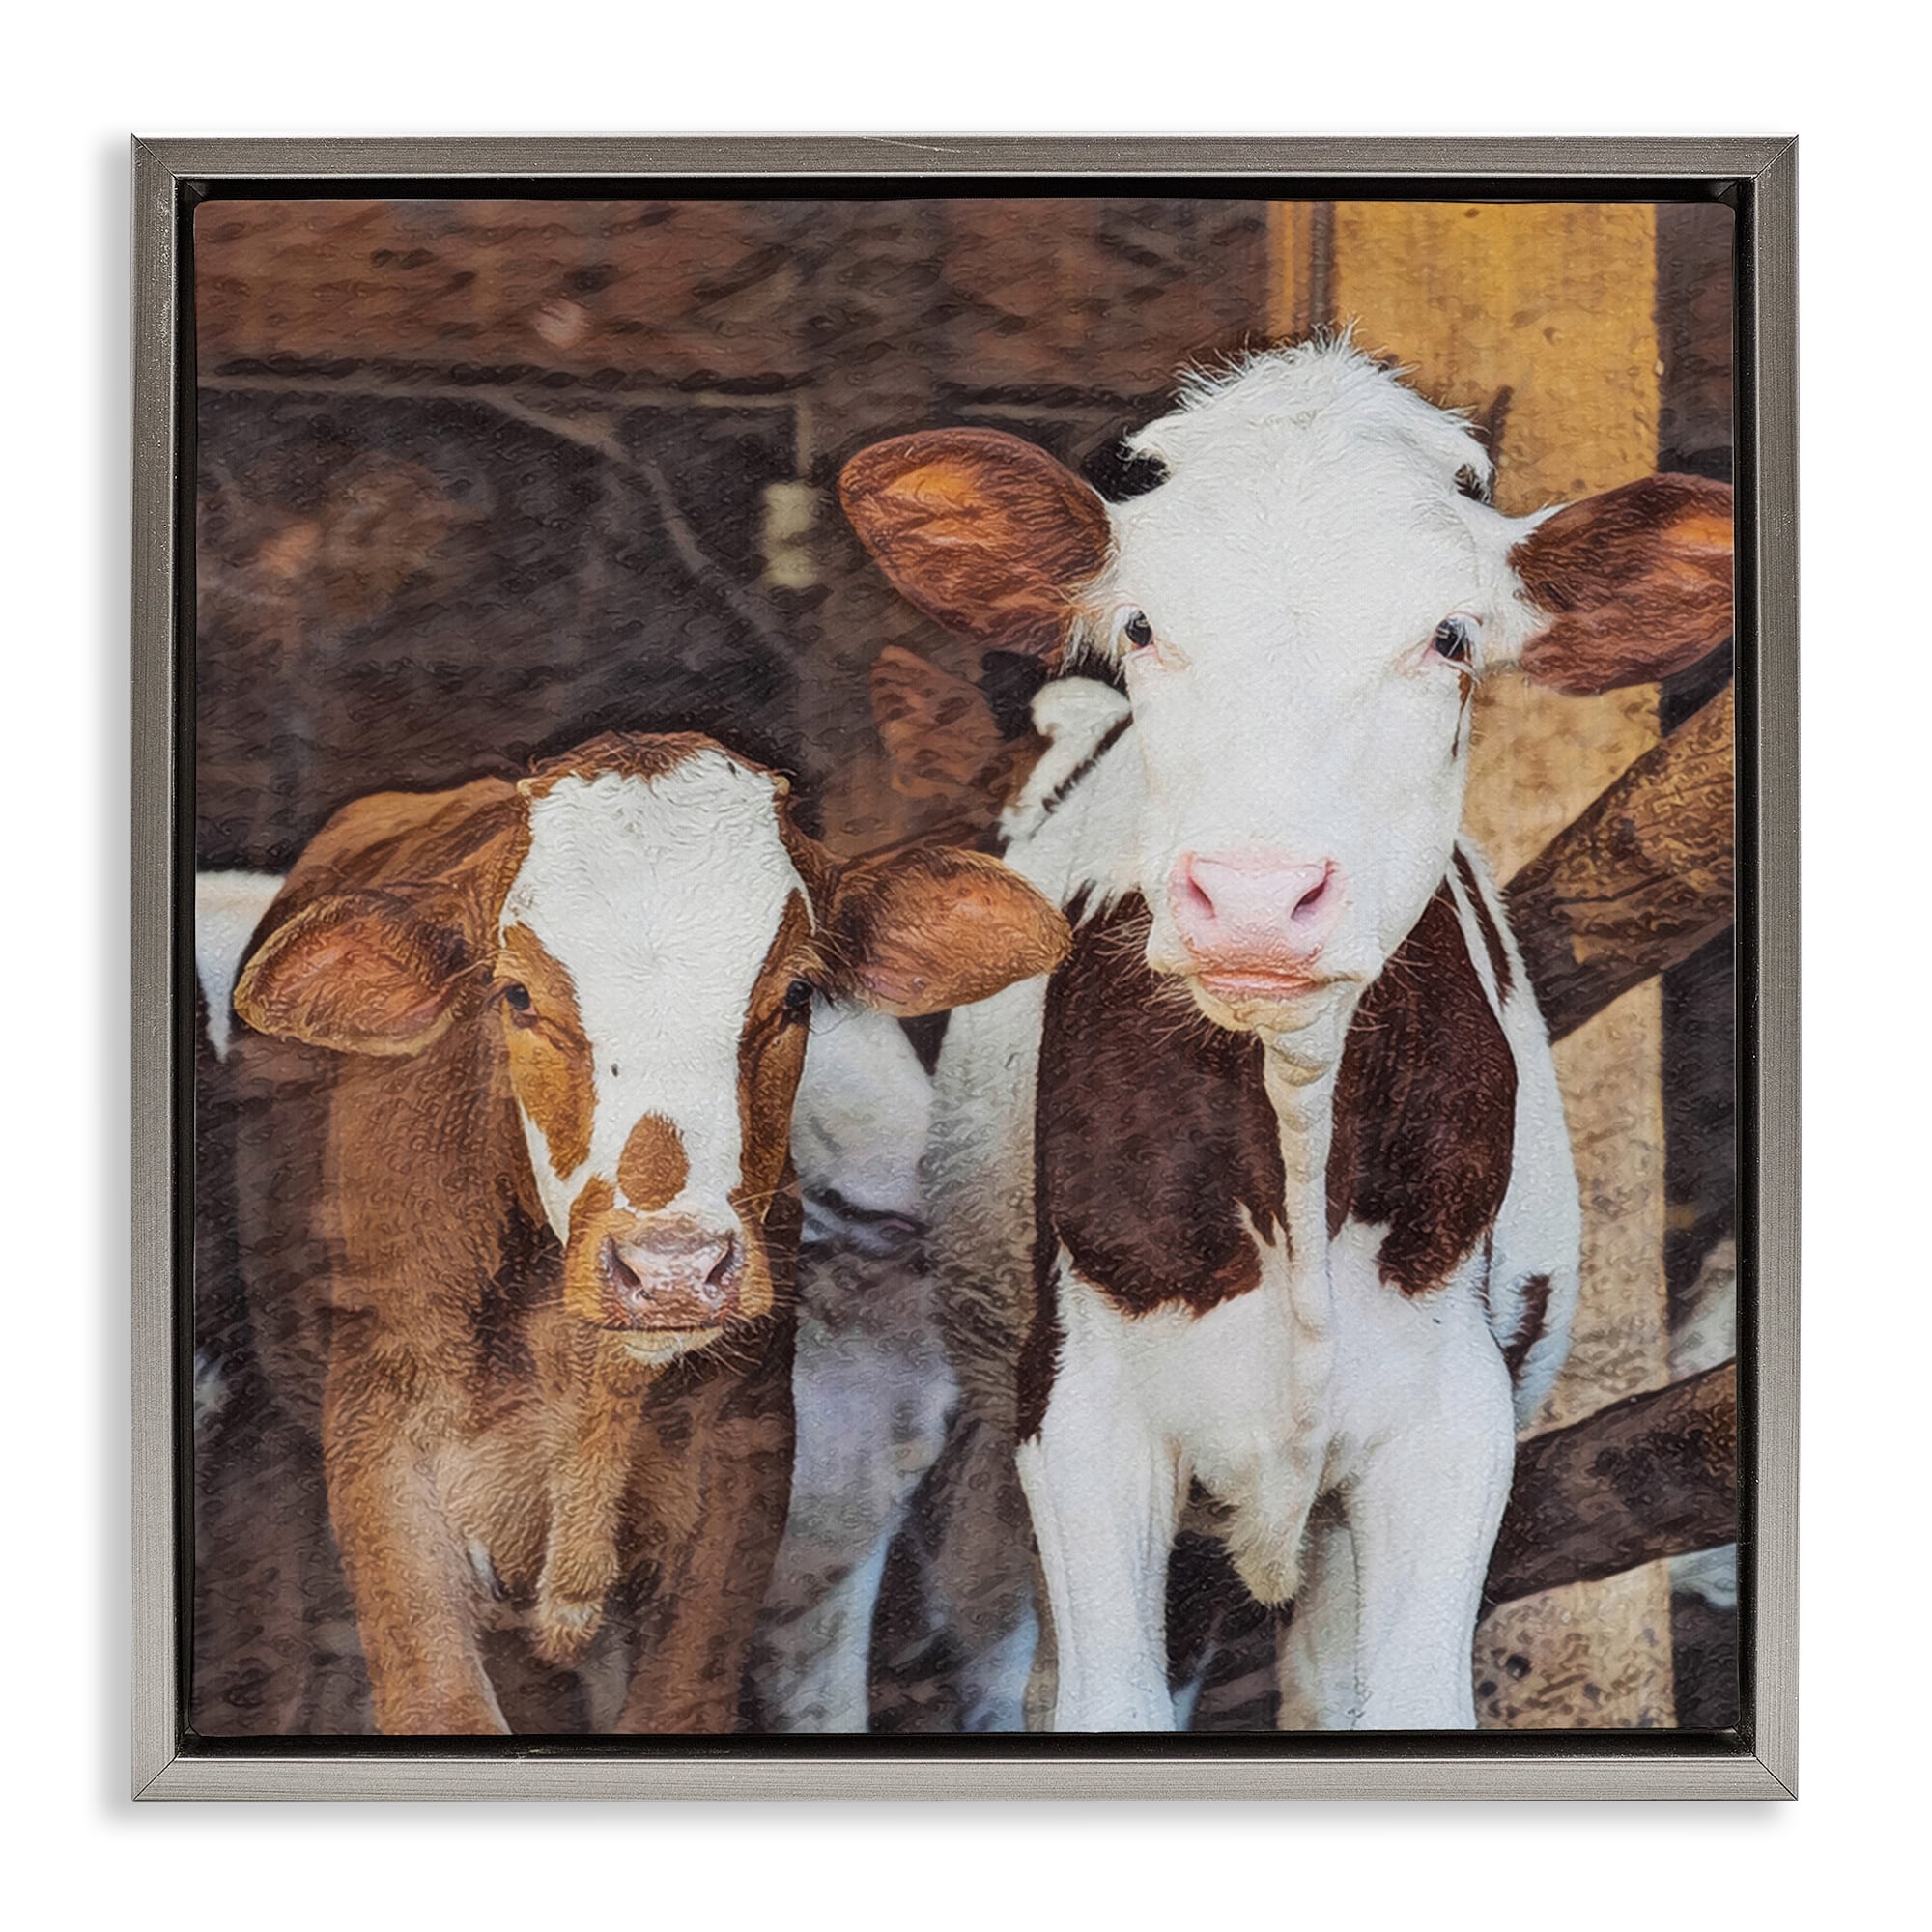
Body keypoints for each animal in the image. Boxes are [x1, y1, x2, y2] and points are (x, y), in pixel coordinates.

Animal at [227, 730, 1068, 1734]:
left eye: (798, 992)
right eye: (516, 996)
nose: (671, 1269)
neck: (586, 1378)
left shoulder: (742, 1479)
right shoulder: (383, 1462)